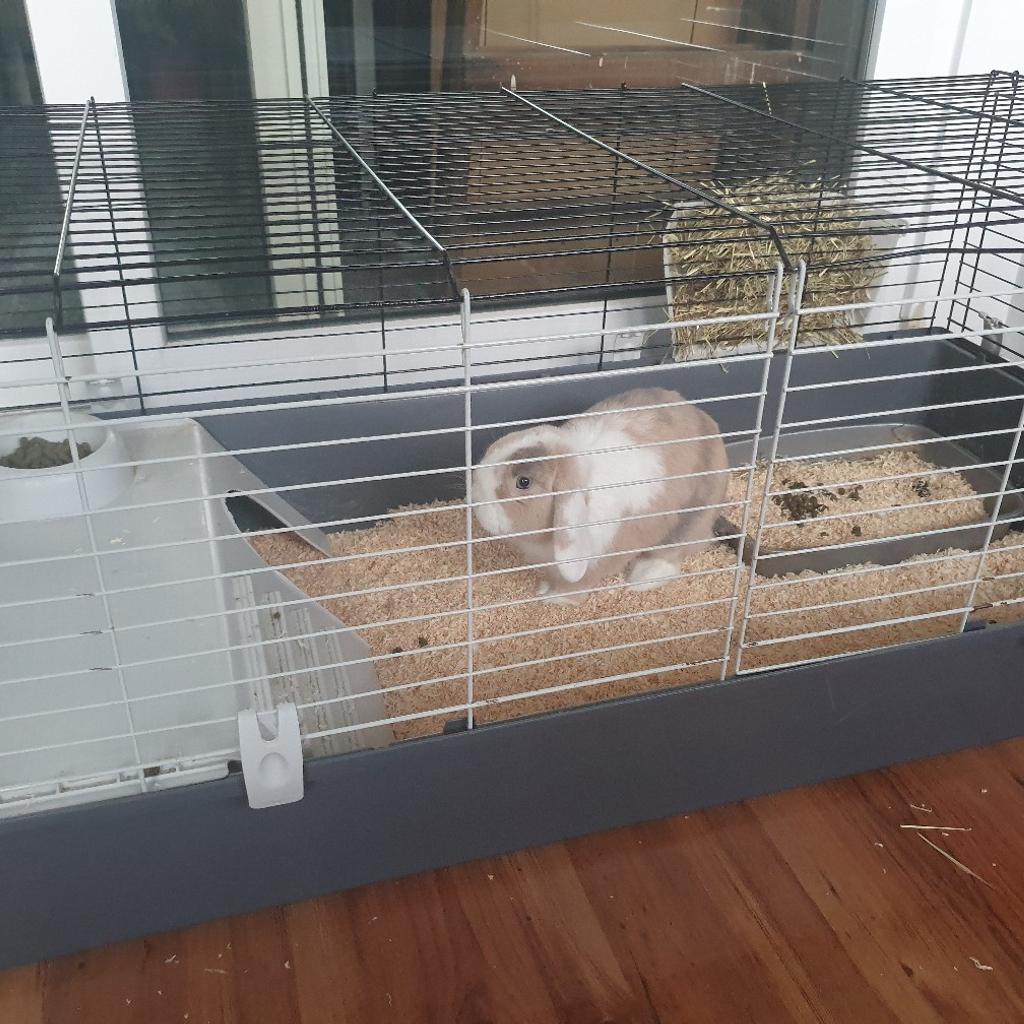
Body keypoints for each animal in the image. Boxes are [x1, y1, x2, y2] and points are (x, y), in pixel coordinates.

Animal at [472, 387, 728, 604]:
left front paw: (552, 598)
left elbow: (573, 588)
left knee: (674, 551)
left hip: (693, 514)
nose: (475, 498)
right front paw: (545, 587)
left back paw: (641, 578)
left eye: (523, 482)